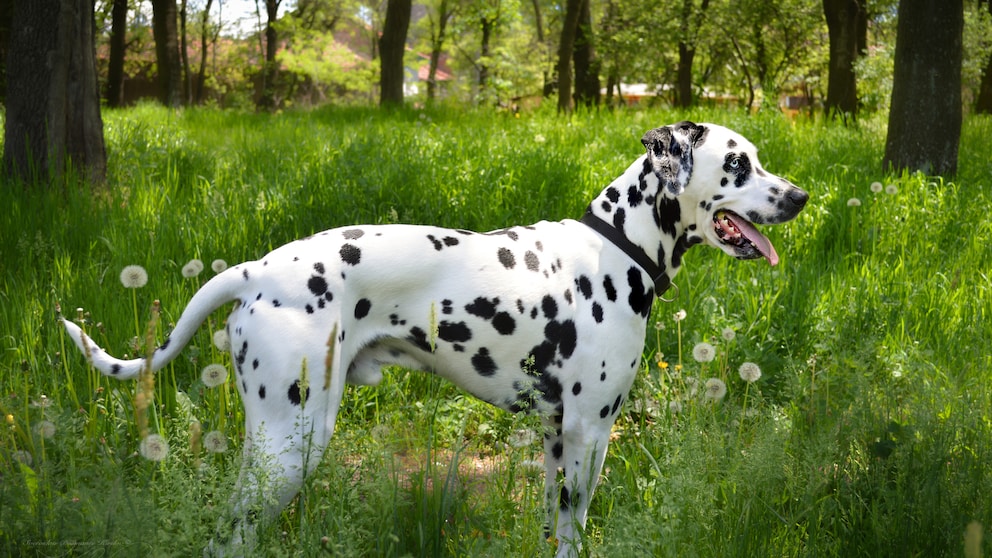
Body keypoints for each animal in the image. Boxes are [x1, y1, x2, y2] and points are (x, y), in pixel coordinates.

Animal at [62, 120, 808, 556]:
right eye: (738, 165)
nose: (800, 197)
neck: (616, 248)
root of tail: (258, 270)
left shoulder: (557, 440)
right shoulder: (590, 436)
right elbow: (575, 535)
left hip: (270, 443)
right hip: (292, 444)